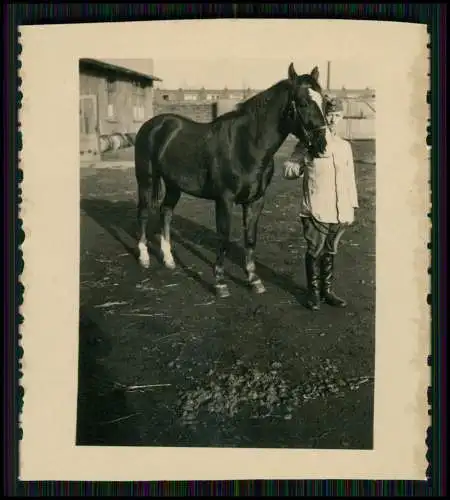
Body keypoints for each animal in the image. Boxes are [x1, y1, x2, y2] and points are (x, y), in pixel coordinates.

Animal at [134, 62, 326, 296]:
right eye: (303, 102)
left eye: (324, 101)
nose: (322, 144)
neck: (246, 145)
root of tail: (152, 125)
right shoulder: (225, 200)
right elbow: (224, 237)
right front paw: (220, 282)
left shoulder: (255, 200)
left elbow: (250, 239)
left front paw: (254, 280)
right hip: (146, 180)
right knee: (144, 213)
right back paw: (144, 257)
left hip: (173, 185)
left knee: (166, 212)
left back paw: (169, 259)